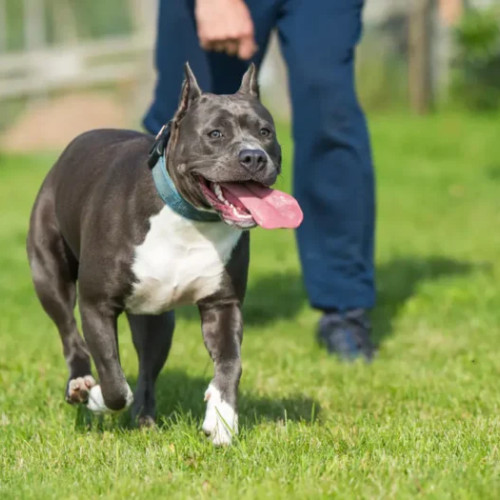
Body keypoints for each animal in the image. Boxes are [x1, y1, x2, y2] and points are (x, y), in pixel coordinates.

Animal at [27, 63, 302, 446]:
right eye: (215, 133)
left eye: (265, 132)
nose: (253, 156)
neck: (189, 218)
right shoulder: (96, 305)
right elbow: (113, 381)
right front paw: (97, 399)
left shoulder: (223, 305)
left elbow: (230, 363)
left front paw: (221, 417)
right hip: (48, 273)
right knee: (69, 333)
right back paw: (80, 383)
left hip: (157, 321)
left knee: (146, 369)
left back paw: (145, 419)